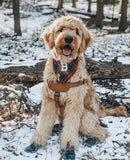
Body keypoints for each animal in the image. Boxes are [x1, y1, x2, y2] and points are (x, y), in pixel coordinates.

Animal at [25, 15, 127, 159]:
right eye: (61, 29)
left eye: (77, 31)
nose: (68, 38)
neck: (64, 67)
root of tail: (98, 112)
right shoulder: (49, 100)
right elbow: (44, 122)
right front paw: (36, 143)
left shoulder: (74, 103)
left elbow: (71, 127)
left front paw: (69, 147)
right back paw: (57, 127)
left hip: (85, 118)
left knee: (102, 131)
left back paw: (93, 139)